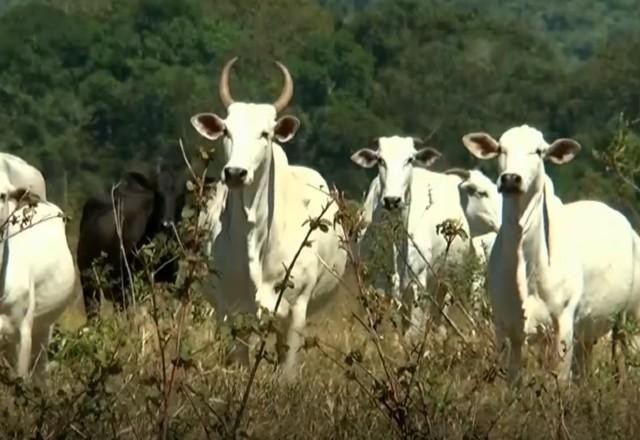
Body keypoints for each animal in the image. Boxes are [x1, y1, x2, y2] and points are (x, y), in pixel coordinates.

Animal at [77, 160, 186, 318]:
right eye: (157, 193)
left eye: (181, 195)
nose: (166, 224)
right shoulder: (124, 286)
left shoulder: (170, 280)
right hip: (88, 279)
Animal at [190, 55, 348, 378]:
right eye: (226, 131)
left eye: (265, 133)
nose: (235, 173)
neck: (257, 238)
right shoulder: (229, 310)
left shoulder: (296, 309)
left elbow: (287, 371)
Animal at [350, 137, 470, 336]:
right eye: (380, 159)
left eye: (410, 159)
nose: (392, 200)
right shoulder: (374, 287)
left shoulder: (416, 286)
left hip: (443, 286)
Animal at [462, 124, 640, 382]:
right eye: (501, 148)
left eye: (538, 151)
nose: (511, 179)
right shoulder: (504, 326)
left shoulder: (563, 322)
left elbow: (560, 379)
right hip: (588, 331)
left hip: (631, 320)